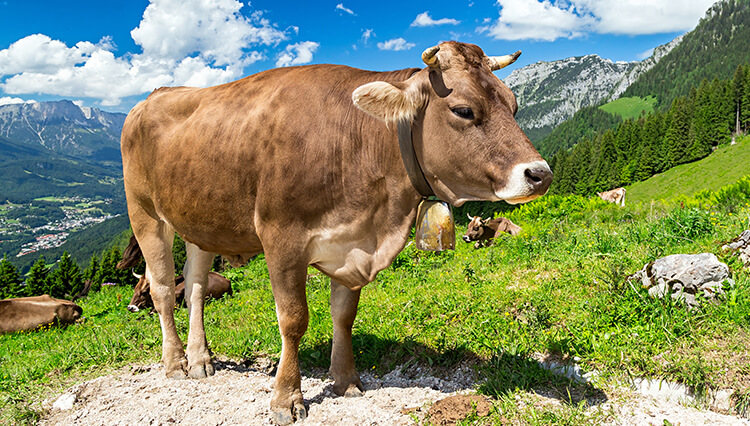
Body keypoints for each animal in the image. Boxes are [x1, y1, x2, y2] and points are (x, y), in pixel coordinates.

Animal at [122, 40, 552, 422]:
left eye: (513, 105)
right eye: (463, 109)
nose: (541, 174)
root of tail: (152, 96)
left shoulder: (353, 244)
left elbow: (344, 315)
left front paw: (346, 381)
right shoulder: (281, 237)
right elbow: (293, 319)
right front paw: (286, 399)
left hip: (199, 222)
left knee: (194, 286)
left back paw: (201, 359)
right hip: (145, 214)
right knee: (163, 288)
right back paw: (175, 363)